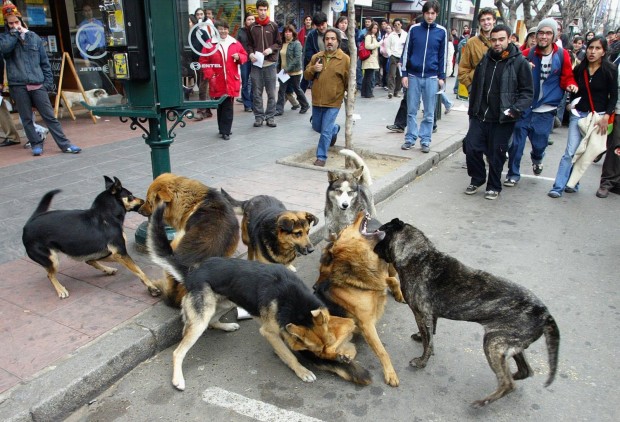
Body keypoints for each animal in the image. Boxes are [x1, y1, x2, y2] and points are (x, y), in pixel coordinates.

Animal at [22, 176, 160, 298]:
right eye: (131, 196)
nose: (144, 202)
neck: (106, 214)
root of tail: (28, 223)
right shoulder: (120, 252)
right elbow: (140, 271)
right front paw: (152, 287)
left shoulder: (112, 252)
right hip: (52, 259)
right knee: (50, 275)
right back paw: (61, 290)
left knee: (89, 261)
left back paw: (108, 269)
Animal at [148, 204, 370, 390]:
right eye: (311, 350)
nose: (320, 359)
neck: (295, 304)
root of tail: (192, 272)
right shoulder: (270, 333)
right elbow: (288, 355)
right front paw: (302, 371)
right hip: (202, 316)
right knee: (179, 351)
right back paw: (178, 379)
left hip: (223, 304)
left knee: (212, 321)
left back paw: (226, 326)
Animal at [314, 211, 406, 386]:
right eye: (346, 226)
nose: (361, 211)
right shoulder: (367, 324)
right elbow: (382, 351)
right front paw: (390, 373)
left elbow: (392, 279)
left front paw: (399, 294)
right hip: (347, 324)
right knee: (324, 350)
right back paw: (338, 357)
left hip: (351, 345)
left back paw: (343, 358)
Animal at [372, 218, 560, 406]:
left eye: (380, 232)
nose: (373, 248)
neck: (417, 255)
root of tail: (546, 314)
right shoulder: (431, 315)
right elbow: (430, 334)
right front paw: (421, 339)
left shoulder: (421, 313)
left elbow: (428, 341)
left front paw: (421, 361)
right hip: (510, 344)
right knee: (524, 371)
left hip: (493, 342)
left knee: (508, 383)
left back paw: (483, 402)